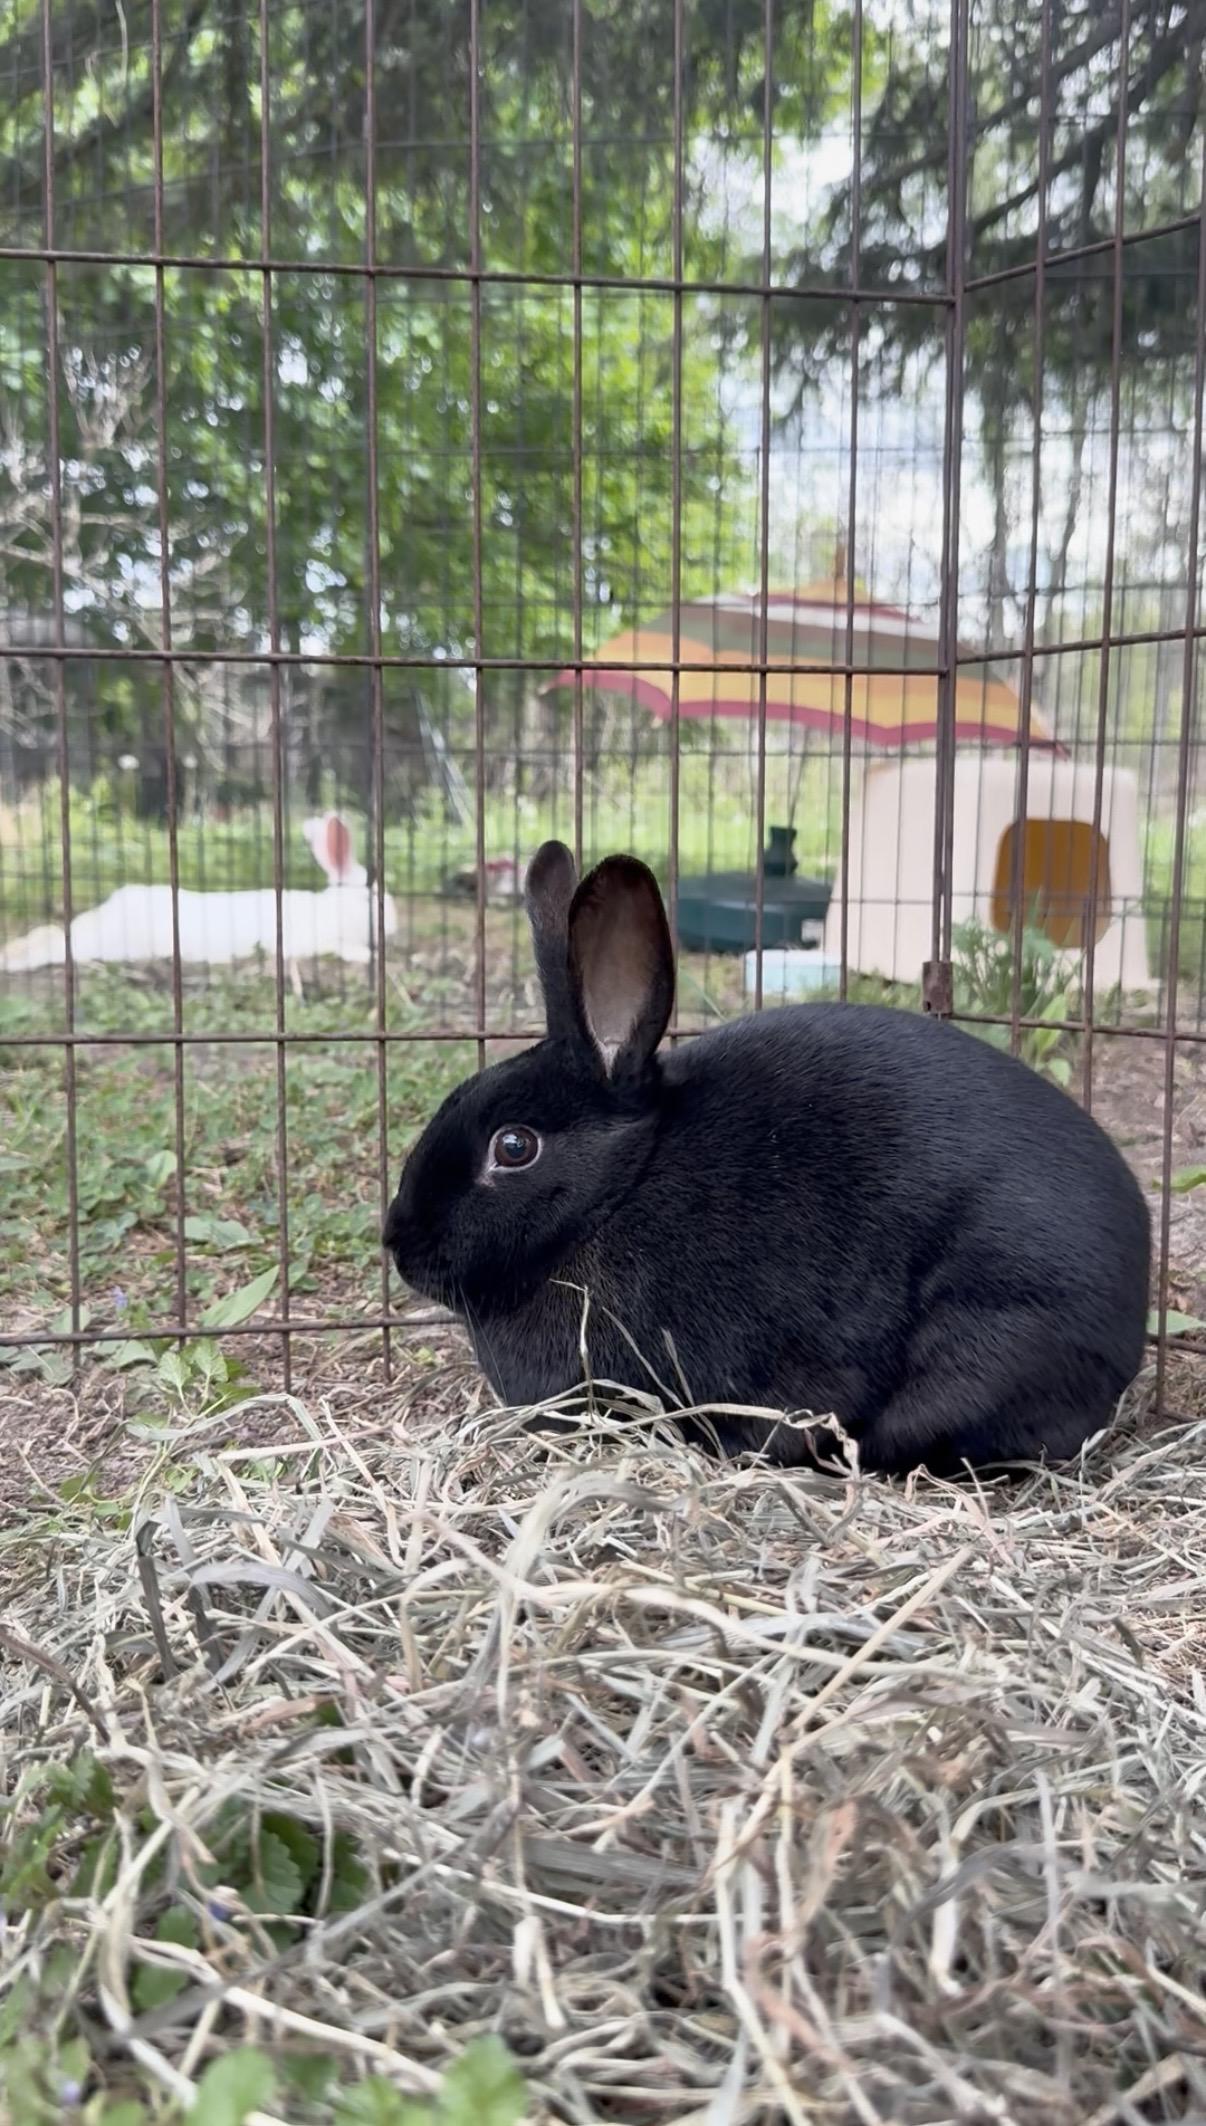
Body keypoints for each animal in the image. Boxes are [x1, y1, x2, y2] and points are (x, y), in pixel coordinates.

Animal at [0, 813, 396, 973]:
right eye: (371, 898)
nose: (393, 928)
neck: (331, 909)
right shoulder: (305, 941)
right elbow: (342, 948)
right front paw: (367, 955)